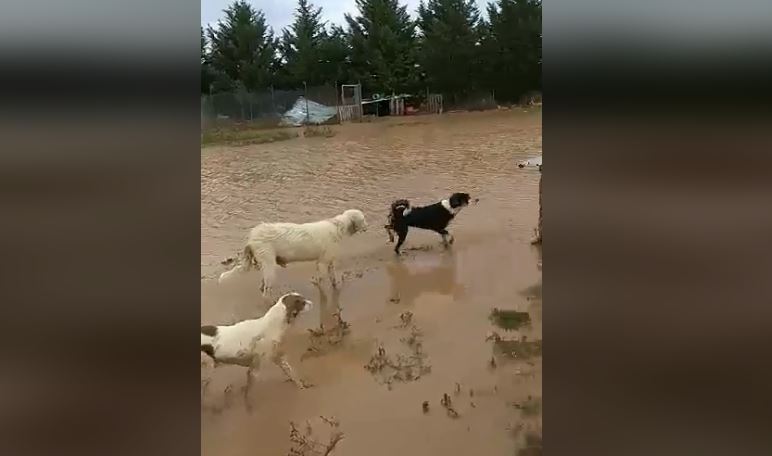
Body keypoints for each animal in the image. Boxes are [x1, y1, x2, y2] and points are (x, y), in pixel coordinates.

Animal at [219, 209, 366, 296]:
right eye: (363, 219)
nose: (367, 226)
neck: (337, 226)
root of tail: (252, 237)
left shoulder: (330, 260)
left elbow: (334, 277)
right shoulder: (322, 262)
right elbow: (322, 278)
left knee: (263, 285)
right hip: (269, 264)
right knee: (267, 288)